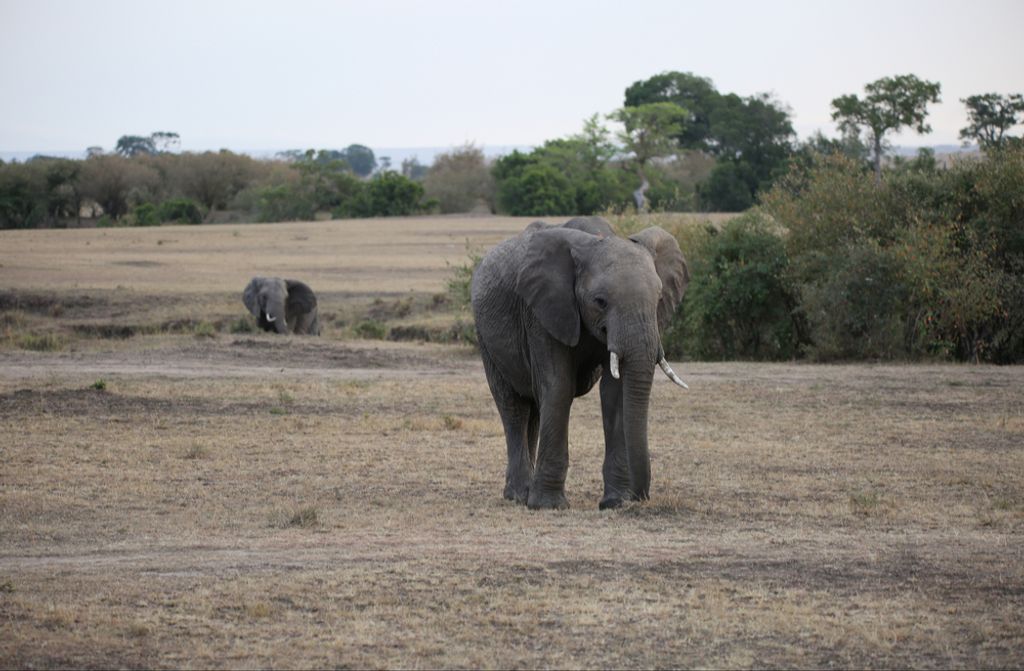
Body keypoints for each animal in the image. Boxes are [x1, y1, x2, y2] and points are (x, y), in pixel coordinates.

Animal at [471, 216, 690, 510]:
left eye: (659, 300)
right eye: (600, 301)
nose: (639, 497)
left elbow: (615, 393)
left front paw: (615, 502)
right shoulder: (542, 312)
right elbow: (558, 387)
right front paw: (548, 505)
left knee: (534, 409)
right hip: (485, 336)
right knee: (514, 407)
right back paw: (518, 495)